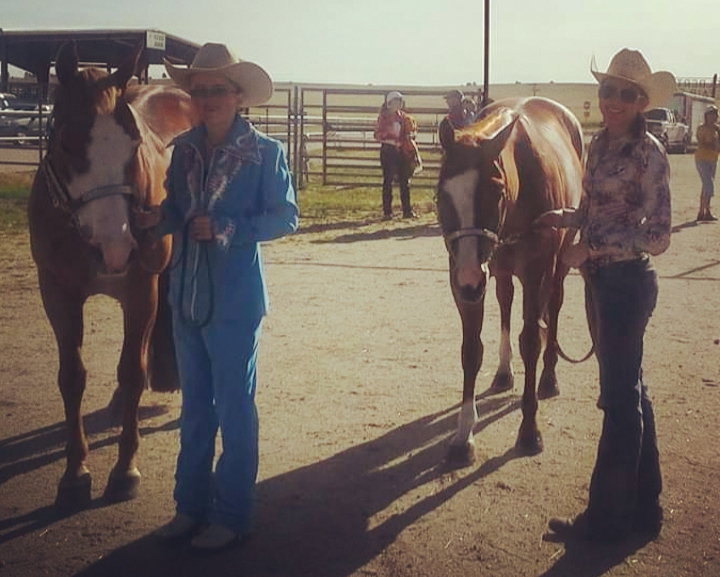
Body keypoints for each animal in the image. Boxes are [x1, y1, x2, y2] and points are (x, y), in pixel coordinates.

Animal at [27, 43, 194, 509]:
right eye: (66, 142)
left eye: (133, 143)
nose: (115, 245)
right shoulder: (57, 294)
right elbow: (72, 377)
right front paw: (75, 472)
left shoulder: (140, 292)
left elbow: (133, 371)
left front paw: (124, 470)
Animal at [436, 96, 584, 465]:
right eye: (442, 193)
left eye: (497, 191)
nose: (471, 278)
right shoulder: (461, 279)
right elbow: (471, 350)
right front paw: (464, 436)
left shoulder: (536, 271)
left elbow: (530, 341)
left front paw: (529, 431)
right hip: (497, 270)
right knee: (504, 301)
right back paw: (504, 371)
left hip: (559, 263)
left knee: (553, 309)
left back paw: (548, 377)